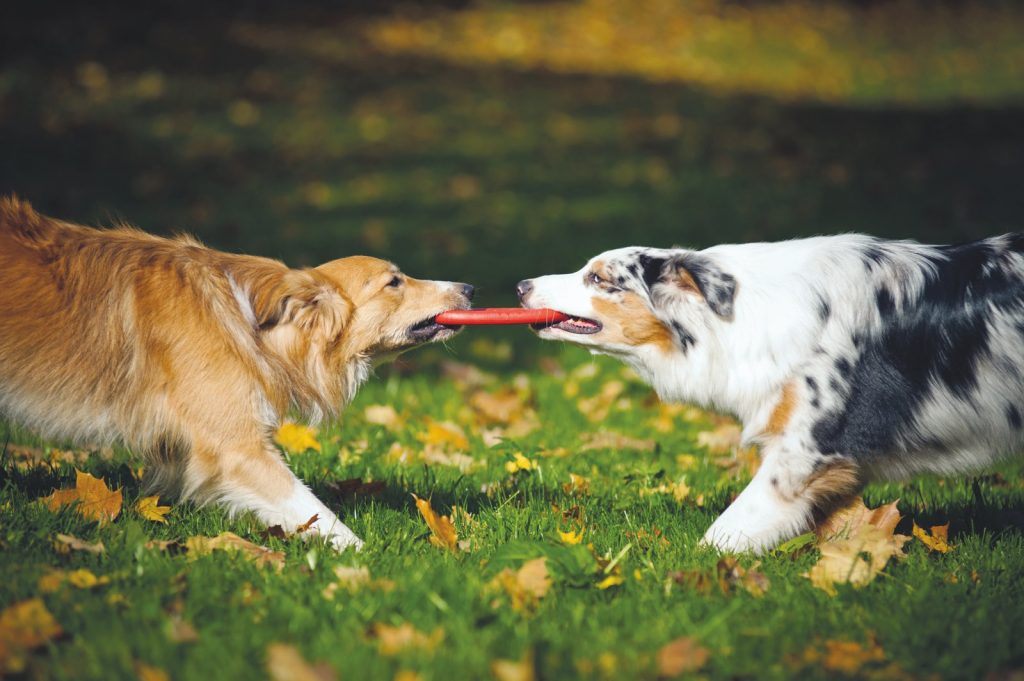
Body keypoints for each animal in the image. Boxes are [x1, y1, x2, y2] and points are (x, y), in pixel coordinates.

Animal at [0, 196, 471, 548]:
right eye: (394, 282)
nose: (467, 287)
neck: (255, 323)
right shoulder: (235, 446)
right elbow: (311, 507)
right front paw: (365, 559)